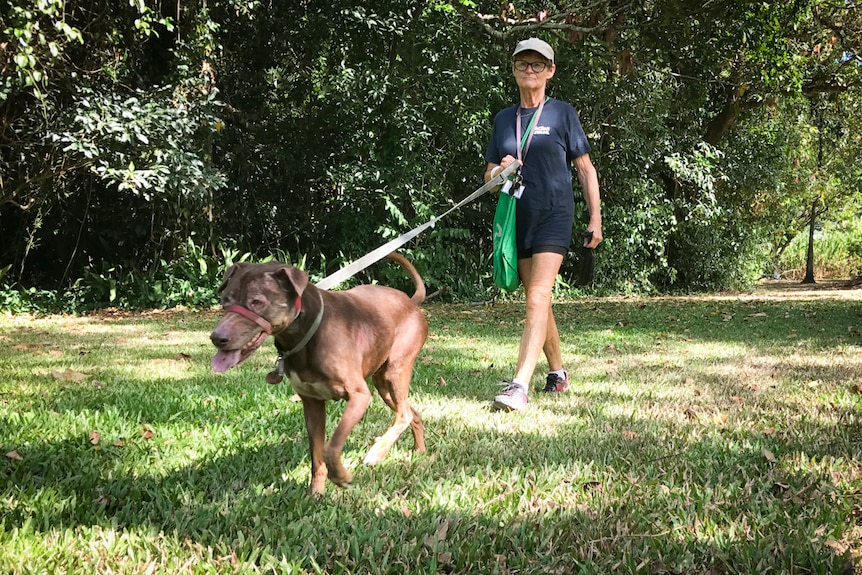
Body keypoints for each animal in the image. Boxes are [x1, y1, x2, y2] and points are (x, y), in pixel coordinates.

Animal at [209, 252, 426, 496]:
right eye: (225, 301)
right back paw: (419, 451)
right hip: (382, 384)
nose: (217, 338)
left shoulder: (359, 396)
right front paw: (316, 492)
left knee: (404, 414)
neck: (307, 333)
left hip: (395, 371)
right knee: (412, 413)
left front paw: (340, 476)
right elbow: (317, 454)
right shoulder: (311, 403)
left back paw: (377, 452)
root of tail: (411, 302)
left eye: (257, 302)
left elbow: (331, 447)